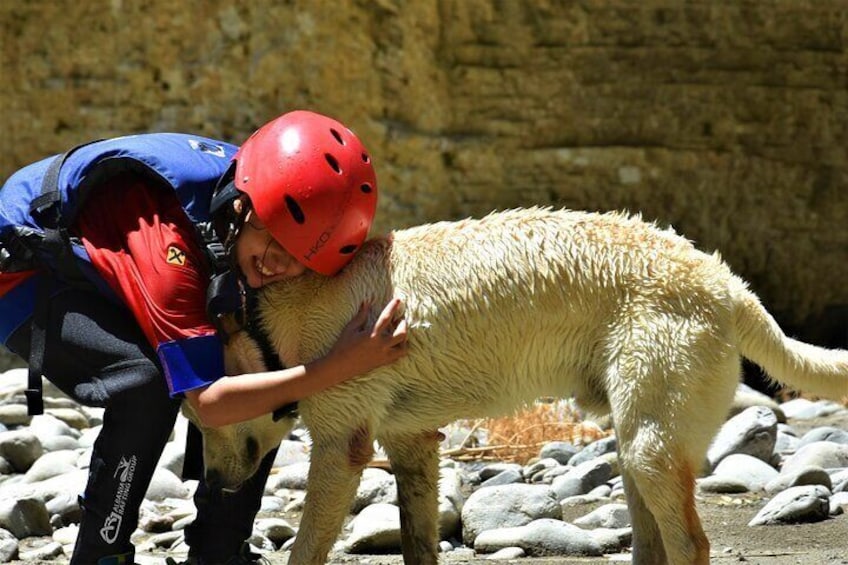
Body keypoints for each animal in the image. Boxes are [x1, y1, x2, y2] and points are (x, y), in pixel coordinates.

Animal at [192, 207, 848, 564]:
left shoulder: (339, 444)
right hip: (640, 435)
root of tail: (729, 286)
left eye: (202, 423)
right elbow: (418, 538)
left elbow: (307, 546)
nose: (217, 484)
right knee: (653, 536)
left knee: (689, 542)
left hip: (651, 427)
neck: (273, 318)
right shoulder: (412, 441)